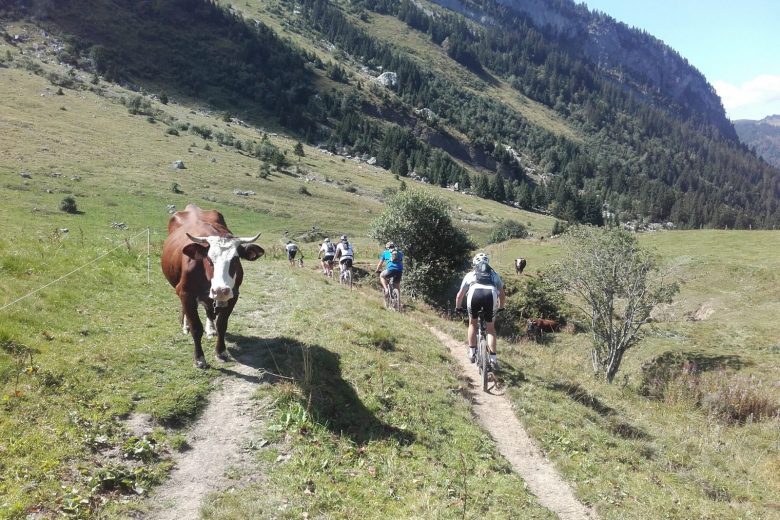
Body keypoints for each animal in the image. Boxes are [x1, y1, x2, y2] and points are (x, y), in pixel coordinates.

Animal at [162, 205, 266, 368]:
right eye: (209, 259)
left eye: (235, 260)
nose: (221, 290)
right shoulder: (185, 293)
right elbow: (196, 327)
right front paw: (199, 358)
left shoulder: (233, 295)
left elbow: (222, 324)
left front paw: (221, 351)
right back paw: (185, 325)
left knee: (209, 310)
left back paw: (211, 329)